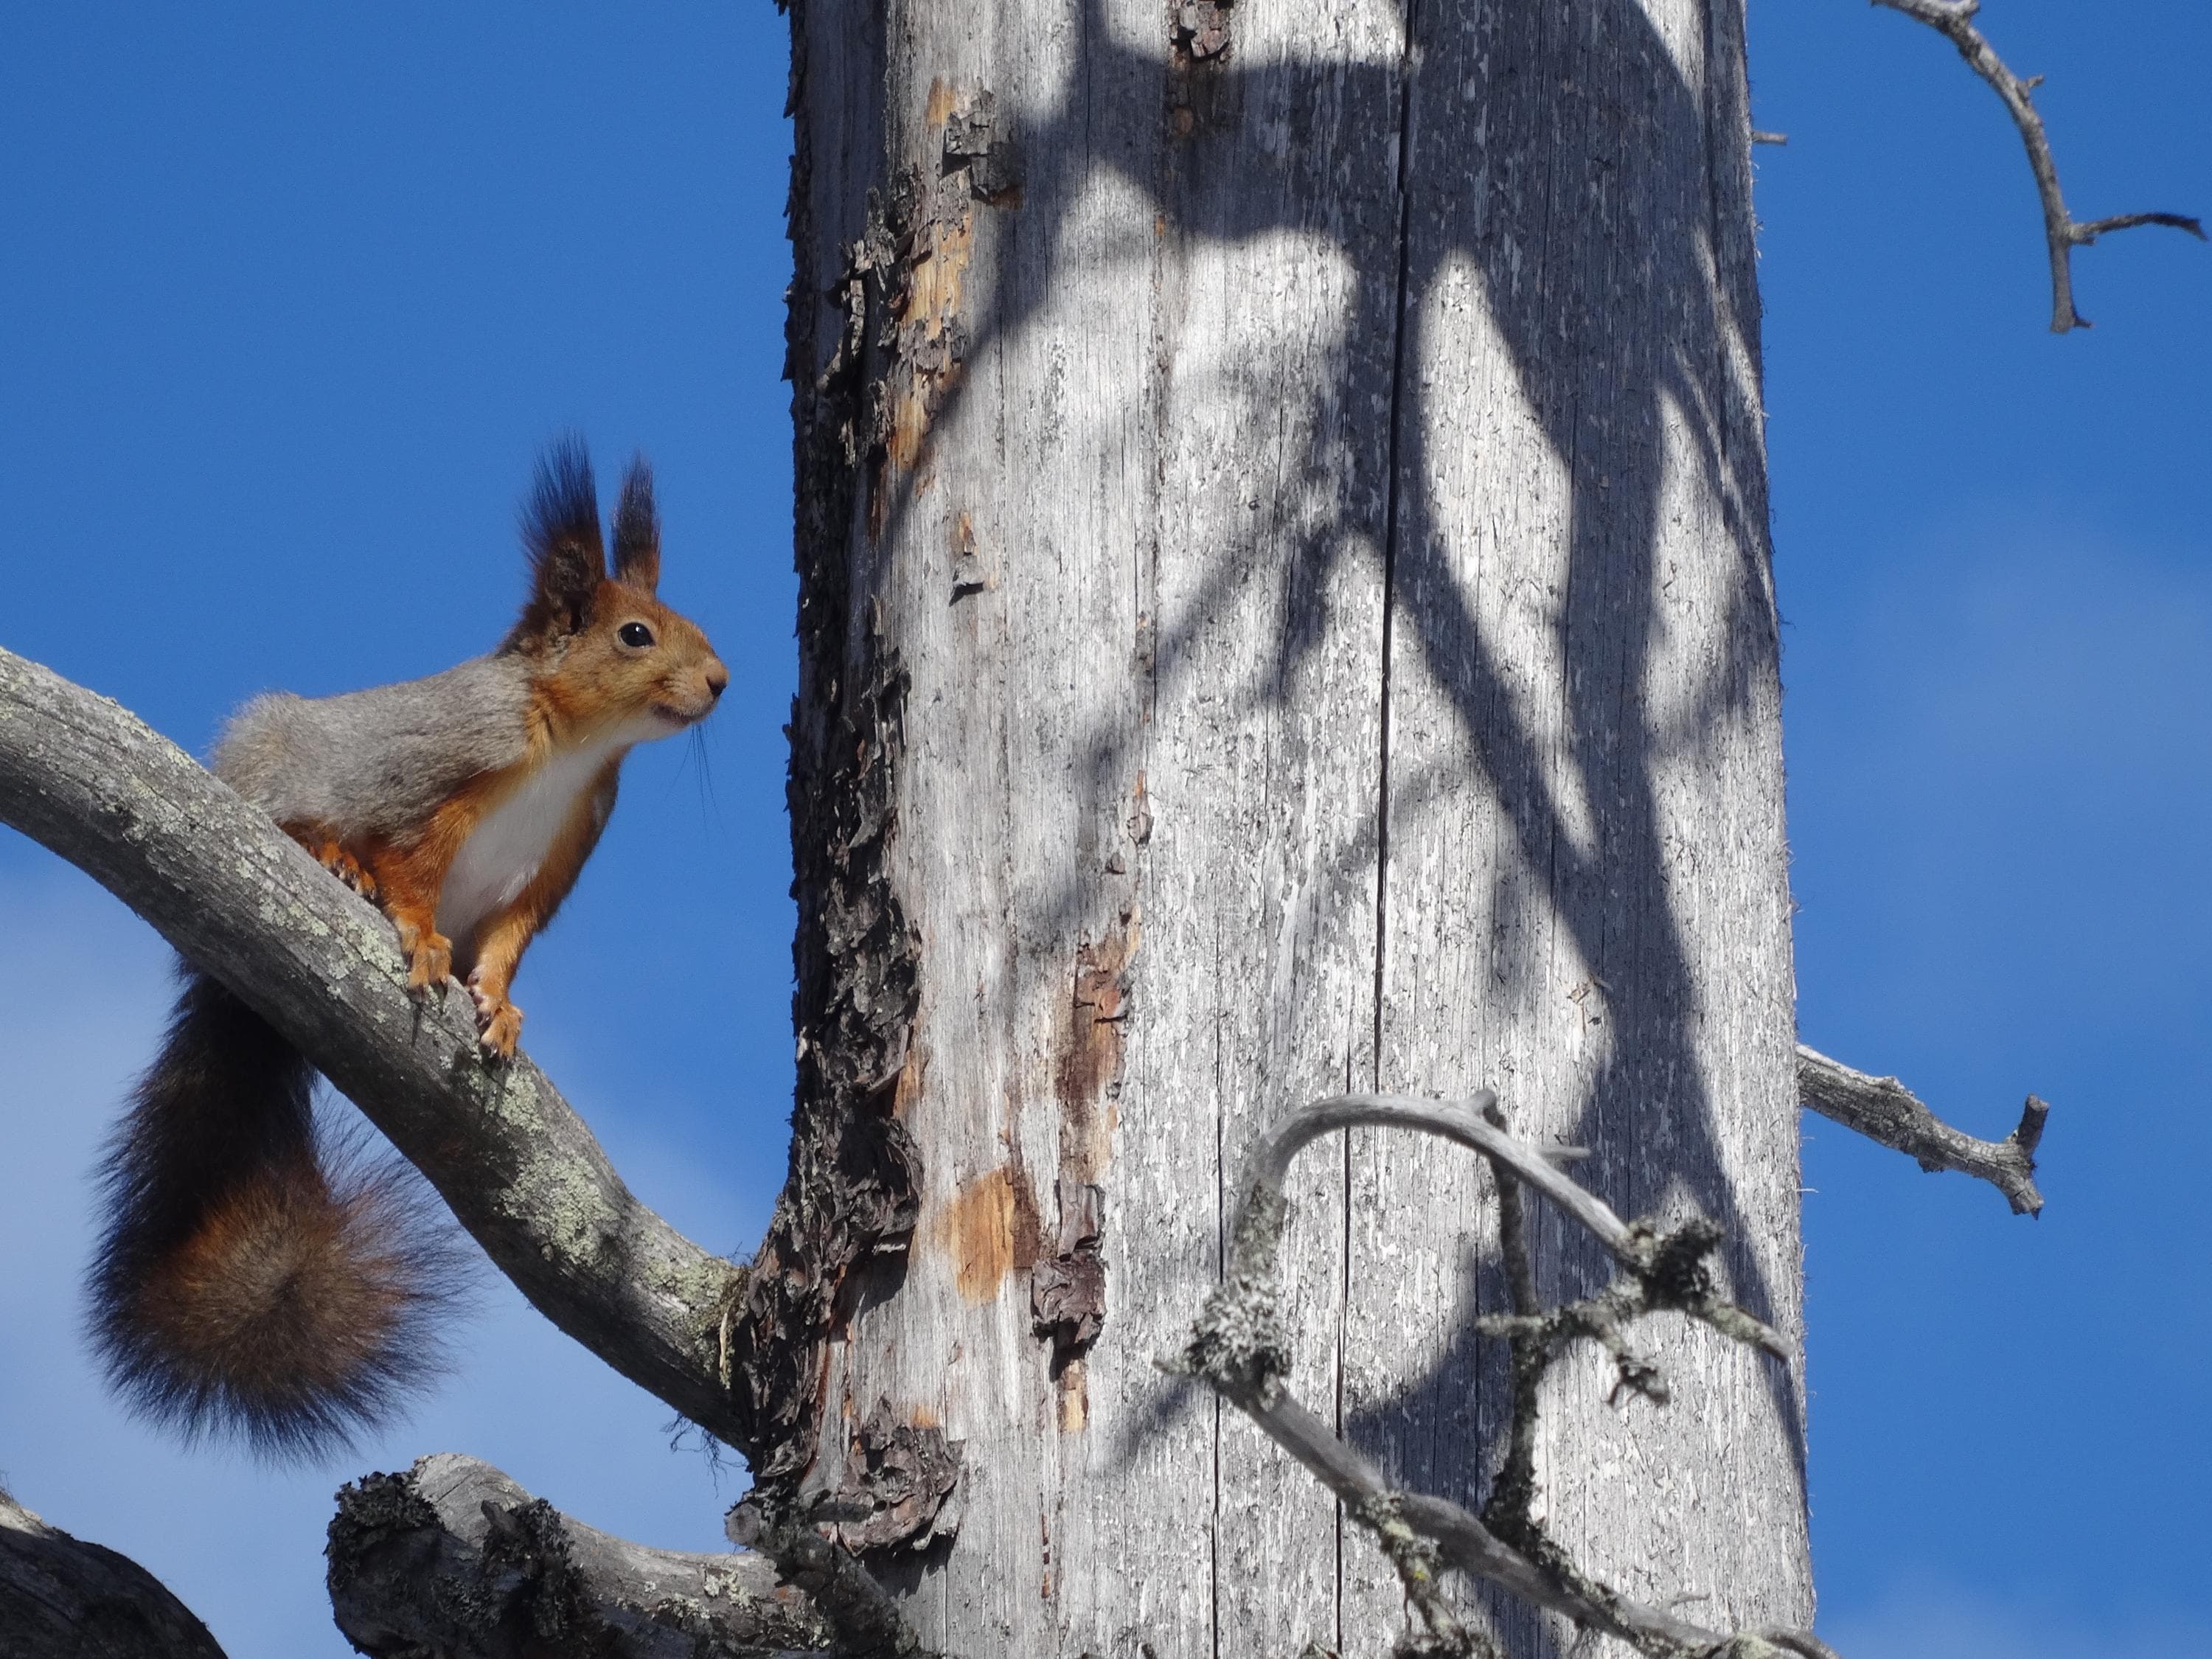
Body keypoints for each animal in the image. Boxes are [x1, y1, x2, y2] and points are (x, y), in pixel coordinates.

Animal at [90, 438, 728, 1457]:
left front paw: (500, 1007)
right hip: (270, 759)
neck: (574, 749)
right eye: (636, 634)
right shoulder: (435, 783)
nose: (720, 680)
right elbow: (411, 870)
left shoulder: (552, 865)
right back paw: (332, 861)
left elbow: (504, 946)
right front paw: (422, 943)